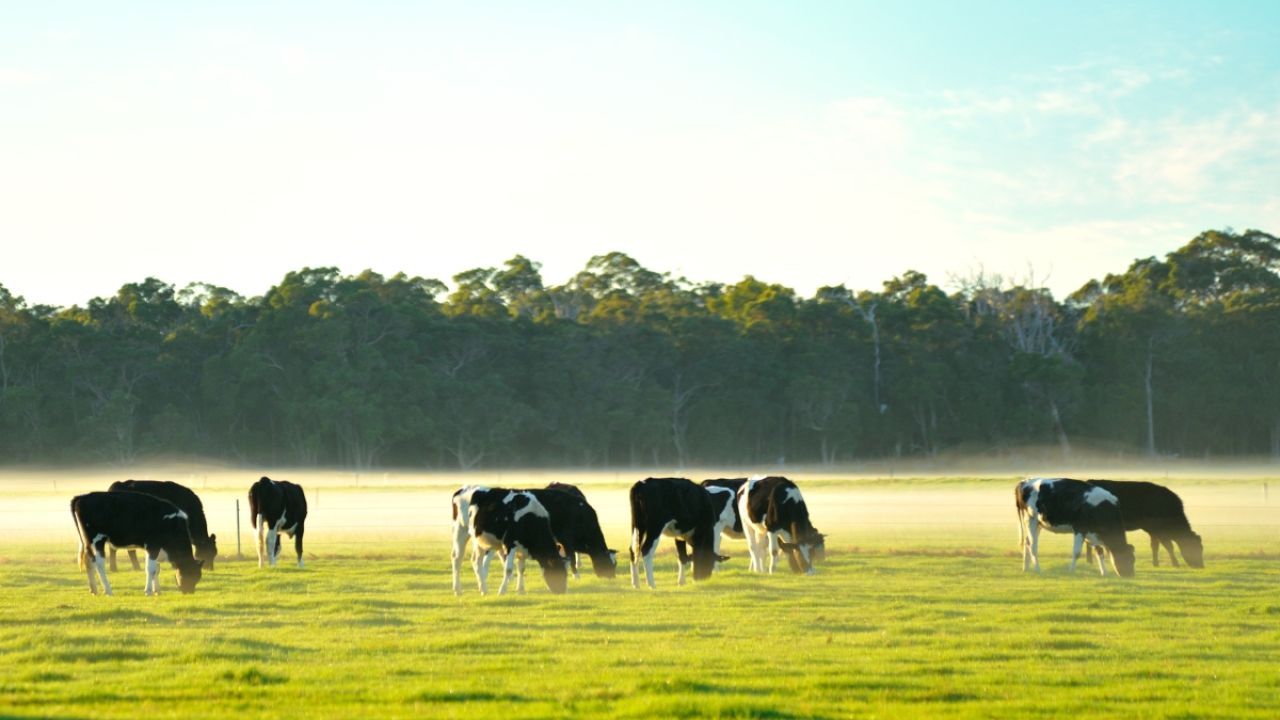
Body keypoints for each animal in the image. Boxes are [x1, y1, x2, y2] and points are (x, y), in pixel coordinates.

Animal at [71, 491, 204, 596]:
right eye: (191, 574)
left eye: (198, 577)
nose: (189, 592)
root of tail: (81, 497)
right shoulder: (153, 545)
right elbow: (150, 568)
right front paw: (148, 591)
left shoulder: (152, 548)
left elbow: (156, 568)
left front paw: (157, 590)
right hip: (98, 539)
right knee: (99, 564)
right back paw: (108, 591)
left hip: (87, 541)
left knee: (88, 561)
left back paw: (94, 590)